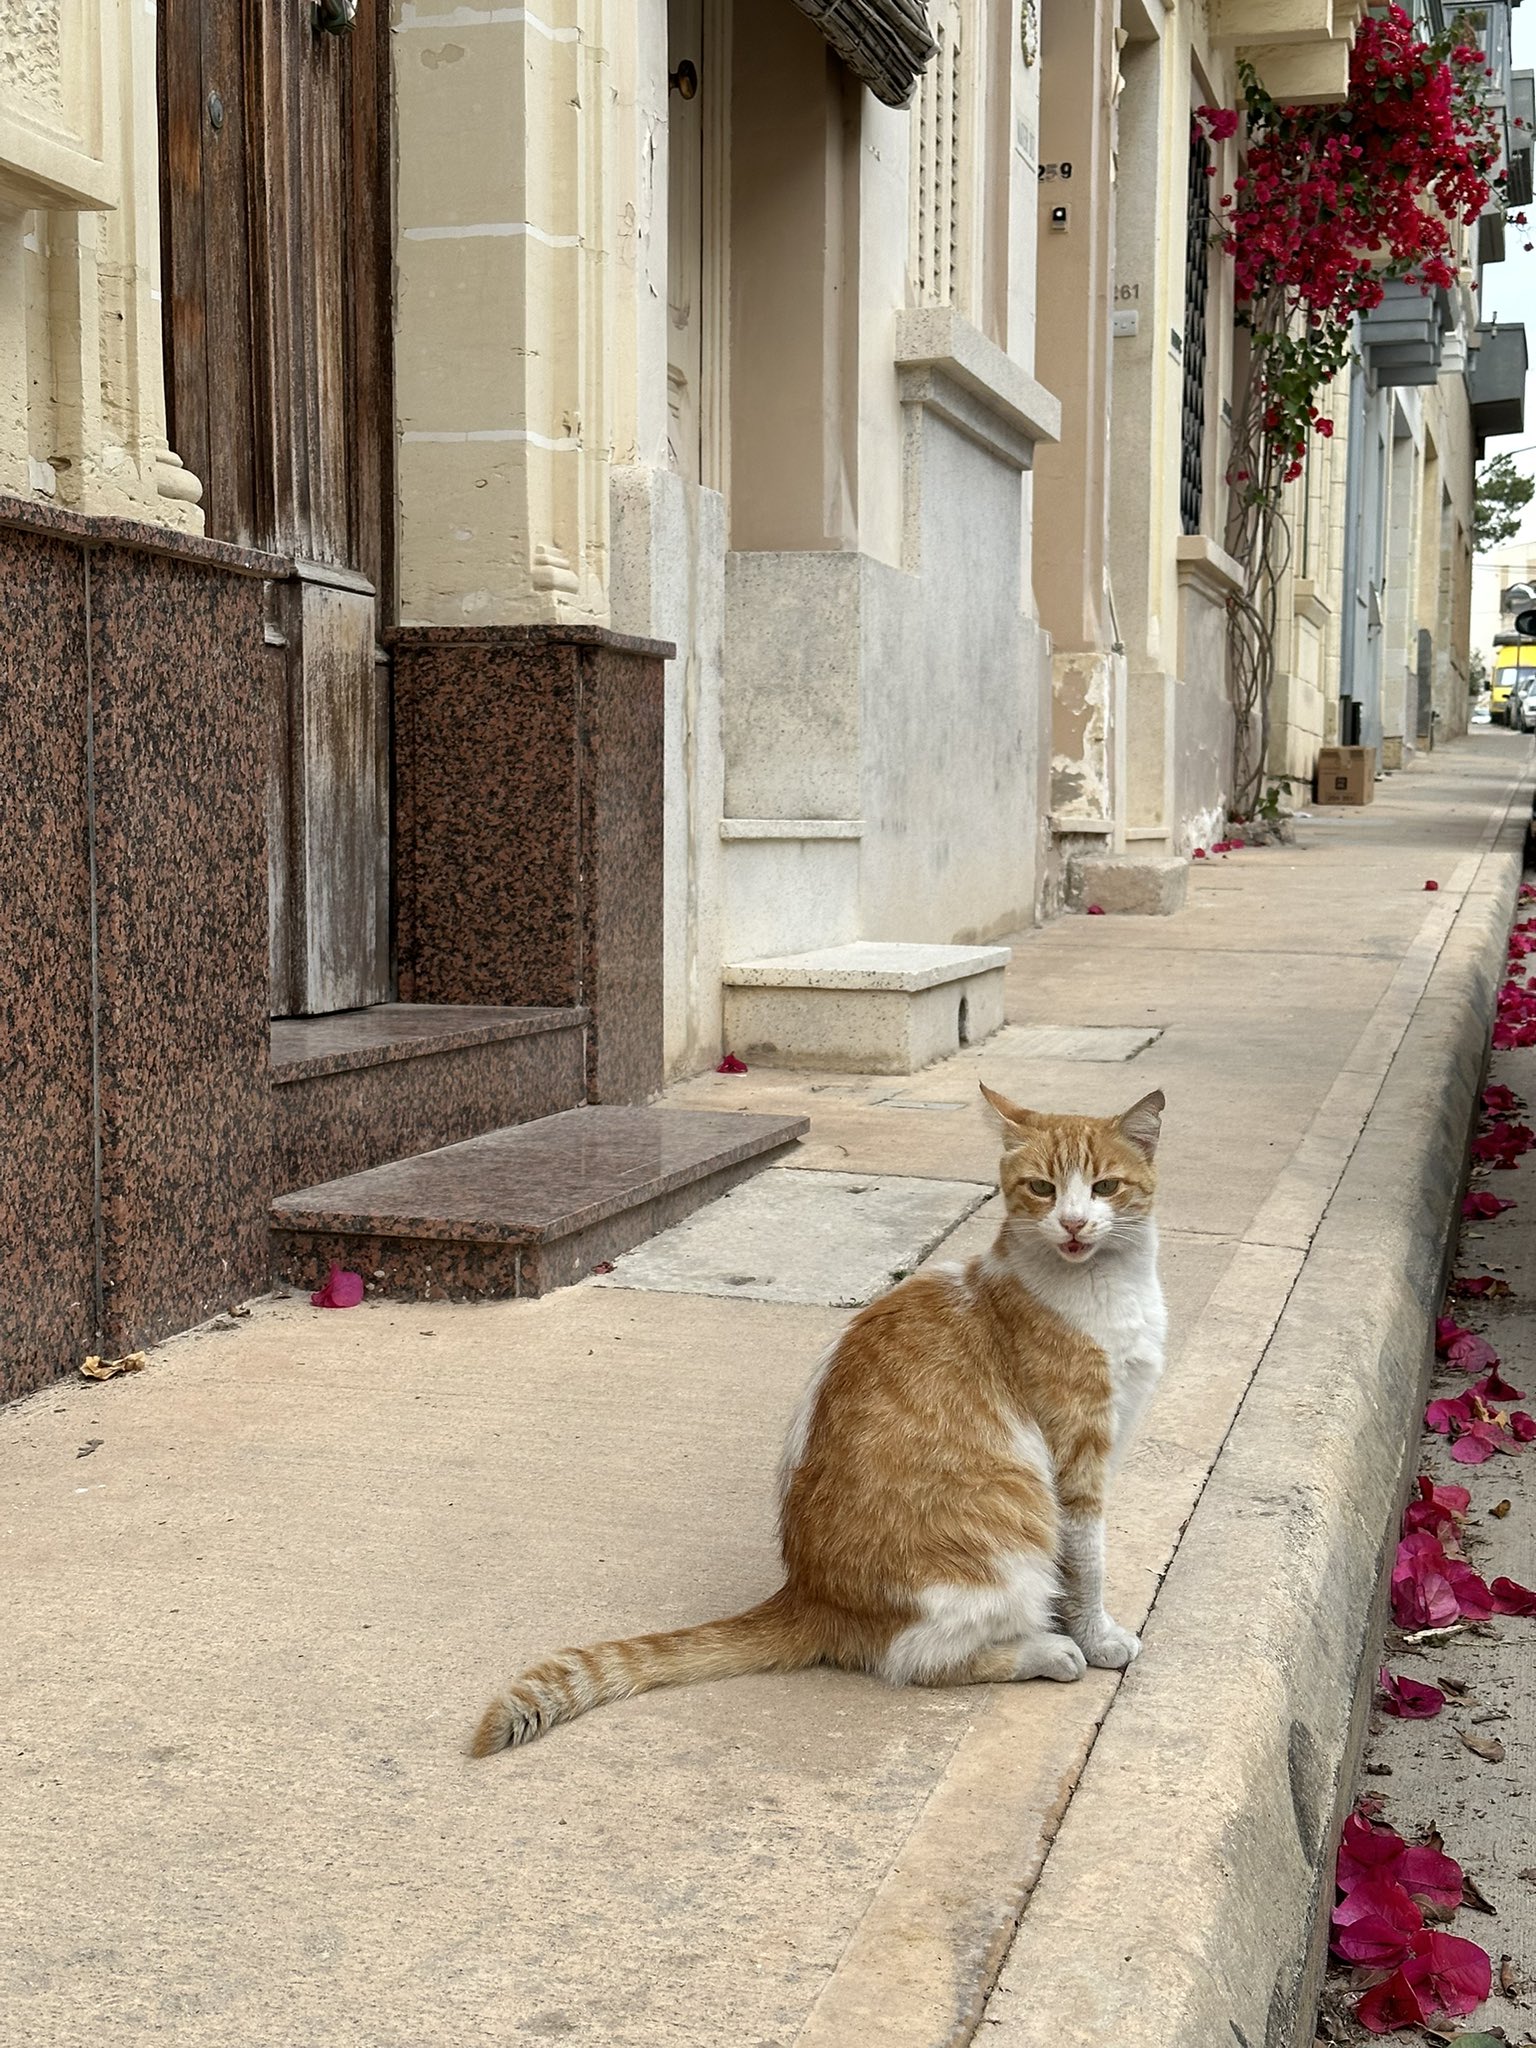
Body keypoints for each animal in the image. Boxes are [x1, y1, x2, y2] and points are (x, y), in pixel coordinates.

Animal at [468, 1081, 1163, 1753]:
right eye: (1042, 1188)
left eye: (1104, 1187)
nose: (1073, 1223)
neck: (1104, 1291)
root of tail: (809, 1595)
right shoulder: (1077, 1461)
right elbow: (1088, 1562)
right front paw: (1097, 1636)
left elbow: (1083, 1565)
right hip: (1006, 1554)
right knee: (915, 1660)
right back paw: (1046, 1650)